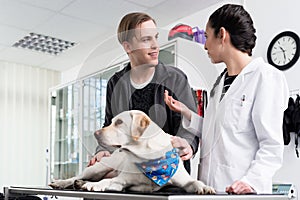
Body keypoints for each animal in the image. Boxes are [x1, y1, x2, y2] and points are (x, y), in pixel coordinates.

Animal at [49, 110, 214, 195]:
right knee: (77, 176)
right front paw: (95, 185)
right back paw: (63, 182)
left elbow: (194, 182)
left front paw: (205, 187)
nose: (95, 133)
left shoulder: (184, 180)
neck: (149, 158)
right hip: (98, 168)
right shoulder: (121, 180)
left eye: (119, 122)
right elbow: (107, 181)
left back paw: (81, 183)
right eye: (111, 121)